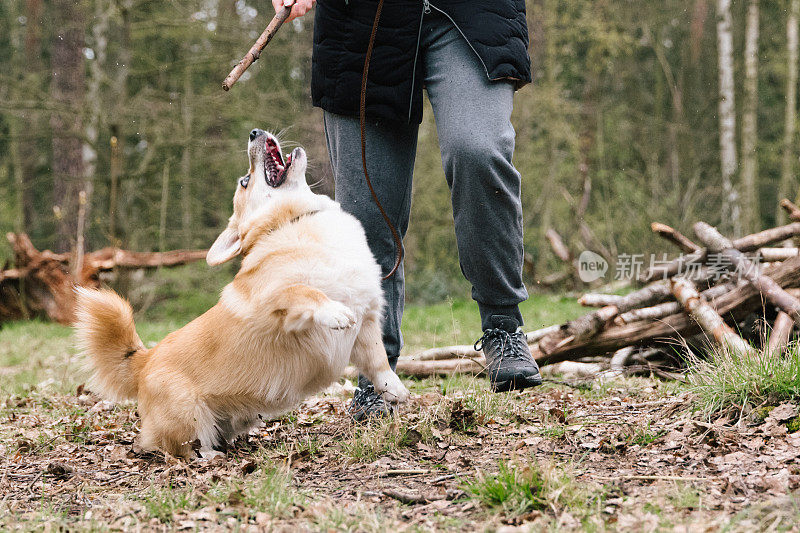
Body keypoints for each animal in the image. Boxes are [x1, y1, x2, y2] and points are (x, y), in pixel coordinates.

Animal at [75, 128, 410, 458]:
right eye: (244, 181)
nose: (254, 132)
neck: (293, 221)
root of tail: (145, 360)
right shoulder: (276, 301)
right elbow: (304, 291)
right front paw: (334, 311)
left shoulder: (366, 324)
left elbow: (379, 362)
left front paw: (395, 389)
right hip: (189, 414)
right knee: (175, 447)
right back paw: (208, 457)